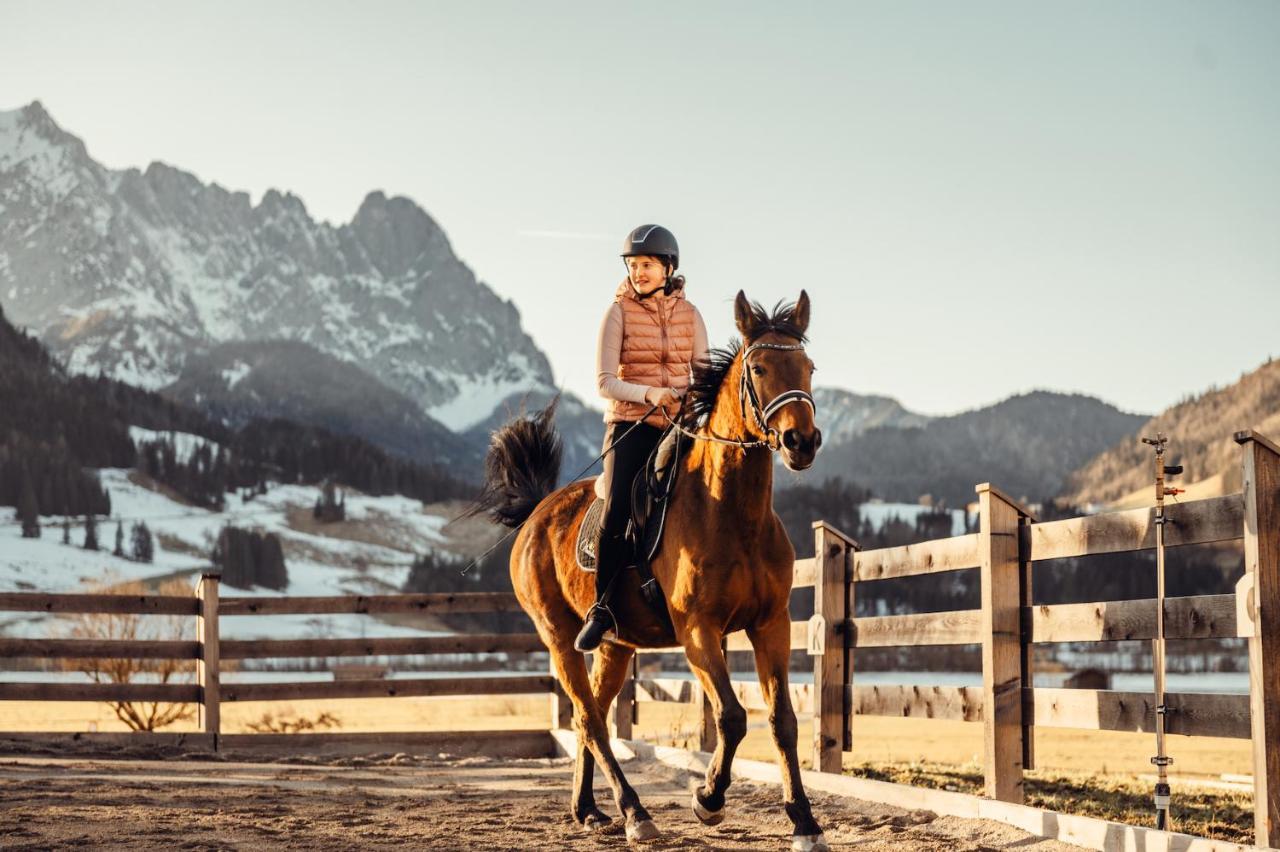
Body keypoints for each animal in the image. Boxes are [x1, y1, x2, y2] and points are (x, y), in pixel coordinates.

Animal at [476, 289, 824, 844]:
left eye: (808, 367)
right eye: (760, 368)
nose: (801, 442)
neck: (732, 512)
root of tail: (535, 514)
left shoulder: (771, 624)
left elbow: (782, 721)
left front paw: (805, 821)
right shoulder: (698, 630)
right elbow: (731, 717)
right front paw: (708, 799)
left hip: (615, 646)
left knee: (591, 716)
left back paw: (589, 810)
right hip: (559, 638)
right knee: (591, 720)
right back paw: (635, 812)